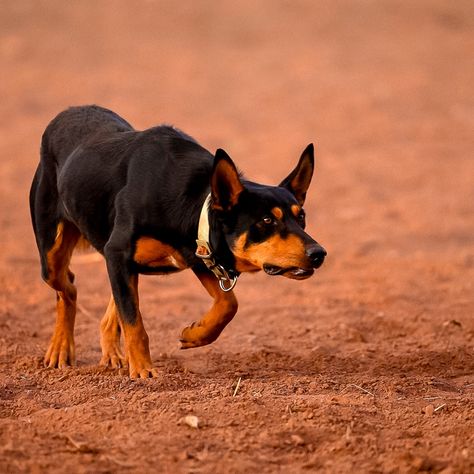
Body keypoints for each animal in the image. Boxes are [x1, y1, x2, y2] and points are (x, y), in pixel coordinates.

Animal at [29, 106, 326, 378]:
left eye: (301, 217)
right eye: (266, 220)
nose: (319, 253)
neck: (191, 202)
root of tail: (66, 113)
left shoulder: (198, 255)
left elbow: (229, 304)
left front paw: (194, 335)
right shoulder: (120, 252)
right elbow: (134, 322)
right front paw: (143, 371)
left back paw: (111, 352)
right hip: (52, 254)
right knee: (68, 286)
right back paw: (60, 349)